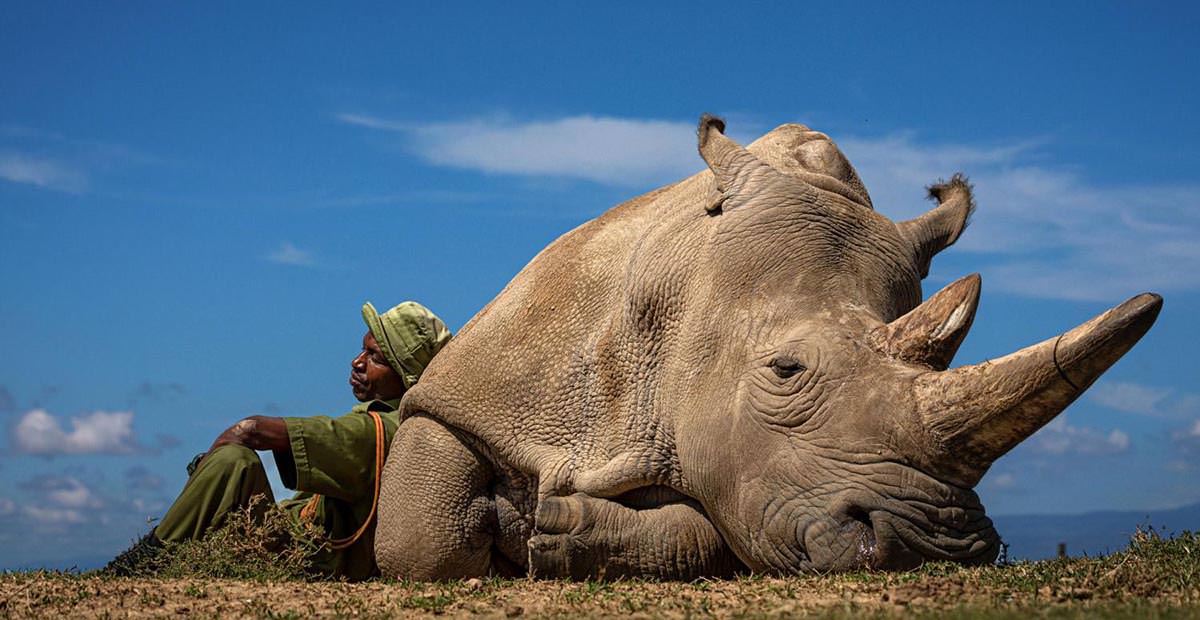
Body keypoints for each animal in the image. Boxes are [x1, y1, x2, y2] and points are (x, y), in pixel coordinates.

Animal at [374, 116, 1161, 580]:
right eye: (786, 370)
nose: (934, 545)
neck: (684, 293)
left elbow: (711, 527)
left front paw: (549, 532)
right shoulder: (473, 389)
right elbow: (421, 538)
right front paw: (503, 529)